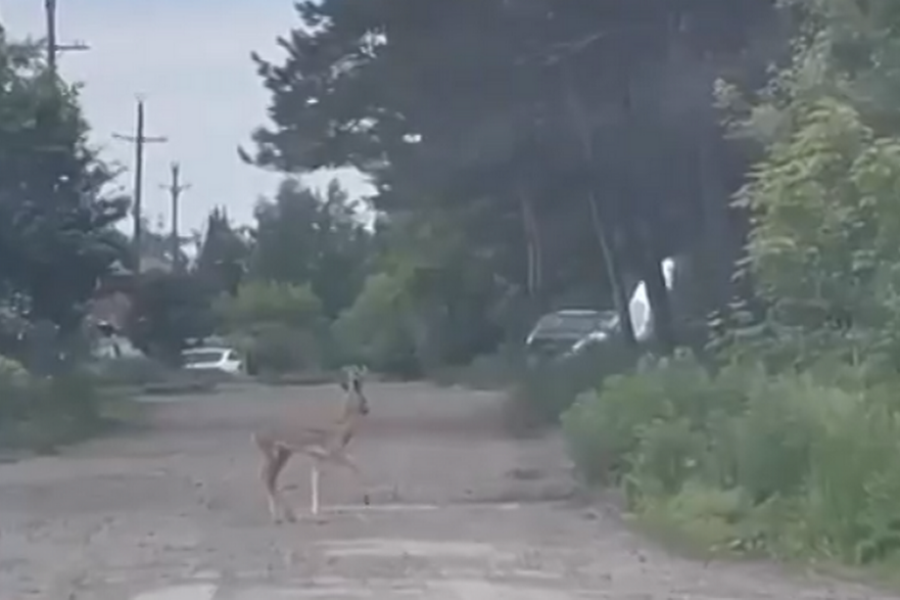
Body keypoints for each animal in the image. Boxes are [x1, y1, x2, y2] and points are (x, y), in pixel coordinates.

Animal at [251, 364, 370, 524]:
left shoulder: (318, 458)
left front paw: (316, 513)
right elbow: (355, 466)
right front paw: (366, 499)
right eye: (359, 391)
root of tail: (257, 432)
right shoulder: (335, 454)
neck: (338, 428)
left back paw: (283, 517)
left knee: (269, 478)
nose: (366, 409)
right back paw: (284, 517)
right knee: (267, 478)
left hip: (284, 454)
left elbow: (315, 480)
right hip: (273, 454)